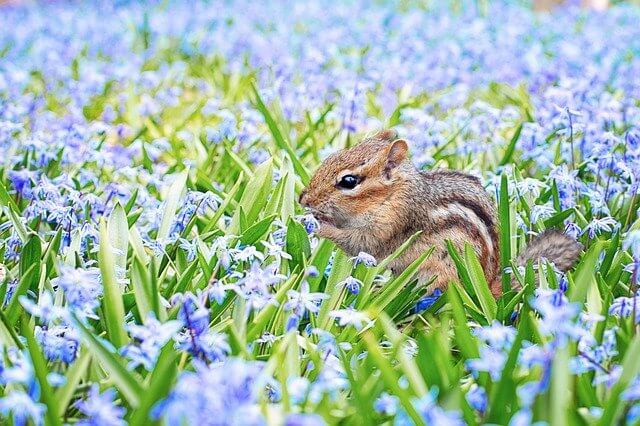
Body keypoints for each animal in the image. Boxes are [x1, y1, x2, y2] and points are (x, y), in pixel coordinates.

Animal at [299, 129, 583, 297]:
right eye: (330, 157)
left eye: (349, 181)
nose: (303, 198)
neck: (393, 195)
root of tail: (489, 286)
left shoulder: (389, 226)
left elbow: (358, 242)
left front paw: (319, 224)